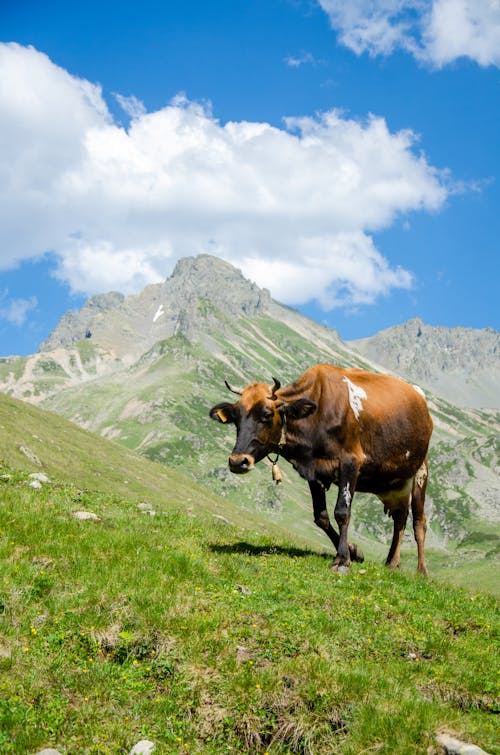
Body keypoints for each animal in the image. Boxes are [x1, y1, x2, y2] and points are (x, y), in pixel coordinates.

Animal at [209, 364, 432, 576]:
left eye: (267, 414)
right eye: (236, 418)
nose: (238, 461)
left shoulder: (350, 462)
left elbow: (342, 512)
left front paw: (342, 561)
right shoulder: (313, 471)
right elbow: (321, 517)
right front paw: (353, 551)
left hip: (420, 470)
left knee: (418, 522)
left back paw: (421, 570)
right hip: (394, 483)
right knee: (400, 518)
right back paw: (392, 563)